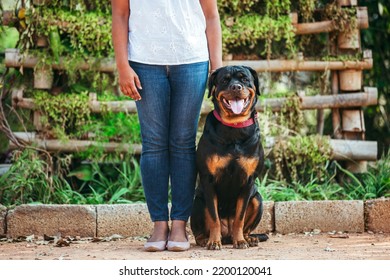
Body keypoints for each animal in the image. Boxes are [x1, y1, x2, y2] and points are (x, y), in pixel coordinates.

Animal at [190, 65, 268, 249]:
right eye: (225, 80)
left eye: (245, 79)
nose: (236, 87)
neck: (234, 127)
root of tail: (227, 236)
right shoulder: (208, 180)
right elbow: (214, 217)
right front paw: (213, 241)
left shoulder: (248, 181)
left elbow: (240, 217)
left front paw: (240, 241)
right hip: (198, 202)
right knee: (201, 228)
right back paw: (206, 239)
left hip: (257, 199)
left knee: (245, 223)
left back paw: (247, 238)